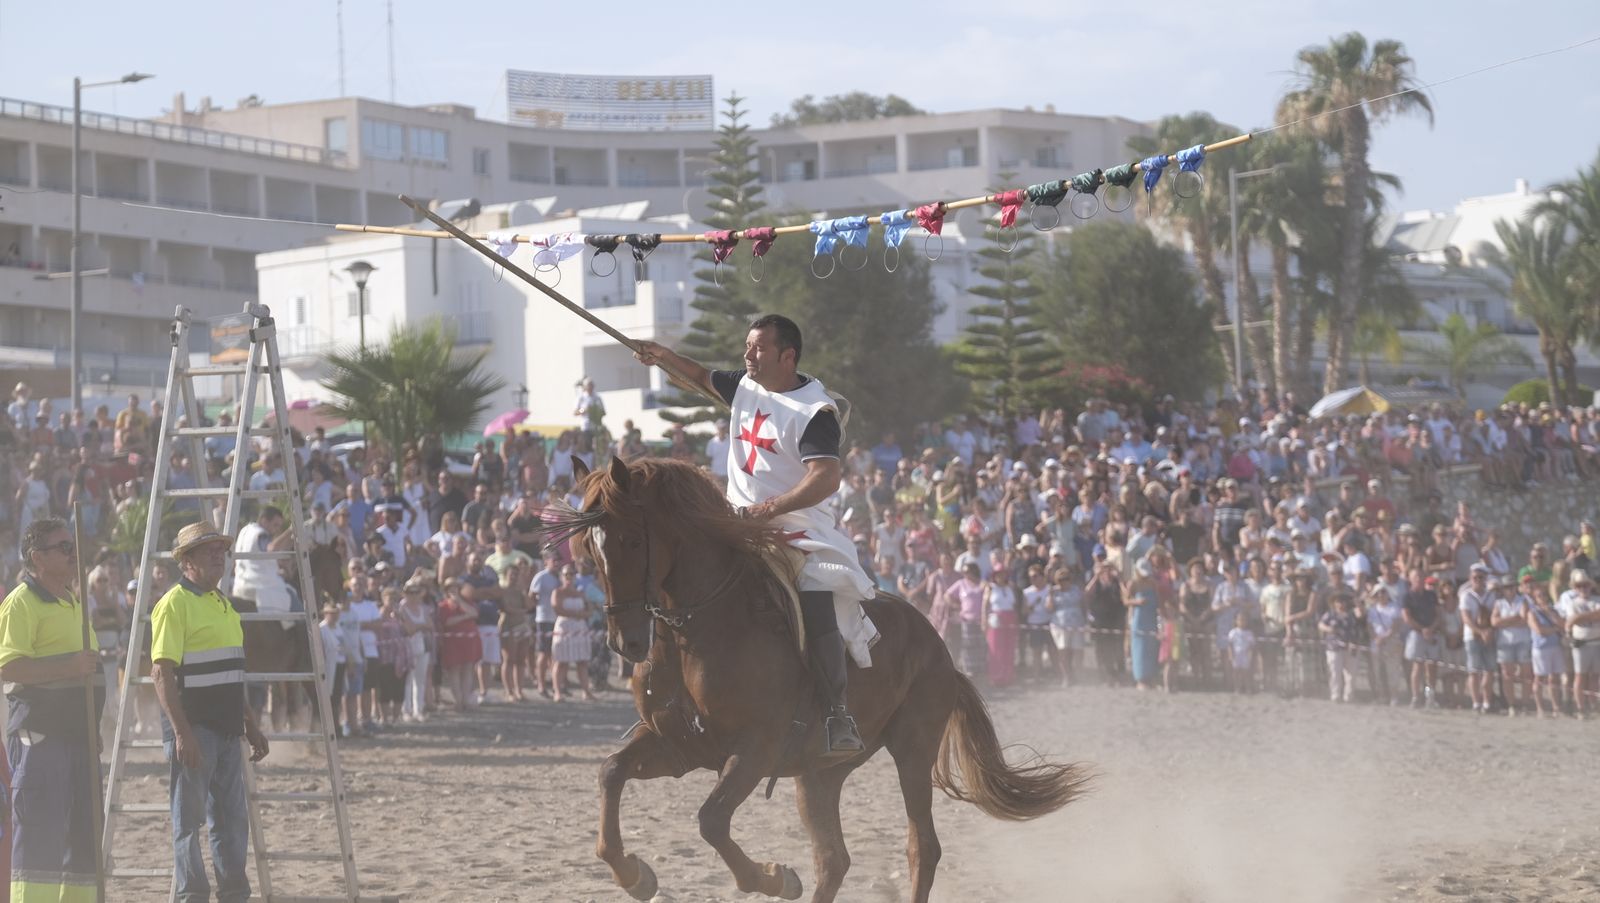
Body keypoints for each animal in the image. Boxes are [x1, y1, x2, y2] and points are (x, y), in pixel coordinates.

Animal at [541, 456, 1089, 903]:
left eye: (632, 540)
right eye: (586, 548)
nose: (625, 642)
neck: (696, 627)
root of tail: (940, 649)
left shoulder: (753, 751)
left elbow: (712, 821)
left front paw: (773, 877)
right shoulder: (677, 747)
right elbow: (611, 772)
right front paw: (634, 874)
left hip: (912, 750)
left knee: (921, 849)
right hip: (819, 773)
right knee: (834, 860)